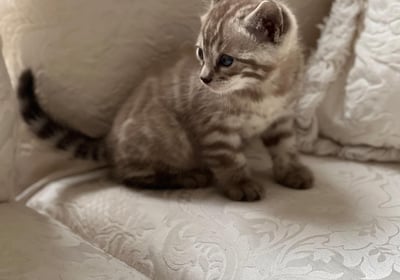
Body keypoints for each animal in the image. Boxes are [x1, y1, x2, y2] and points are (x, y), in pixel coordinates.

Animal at [18, 0, 312, 201]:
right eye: (200, 53)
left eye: (226, 60)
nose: (204, 79)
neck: (264, 89)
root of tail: (108, 138)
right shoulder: (215, 129)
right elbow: (230, 159)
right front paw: (240, 184)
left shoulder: (281, 119)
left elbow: (286, 147)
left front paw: (292, 172)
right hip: (168, 137)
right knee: (128, 175)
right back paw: (190, 176)